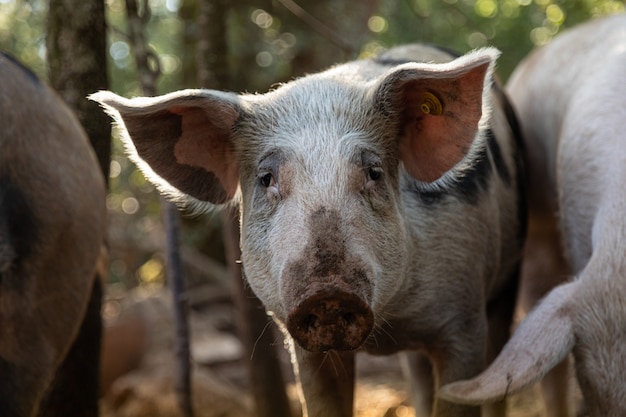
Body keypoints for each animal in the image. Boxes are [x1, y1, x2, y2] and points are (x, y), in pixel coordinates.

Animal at [90, 43, 524, 416]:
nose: (328, 292)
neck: (391, 324)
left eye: (373, 172)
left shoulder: (464, 324)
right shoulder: (304, 346)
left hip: (507, 281)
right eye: (266, 178)